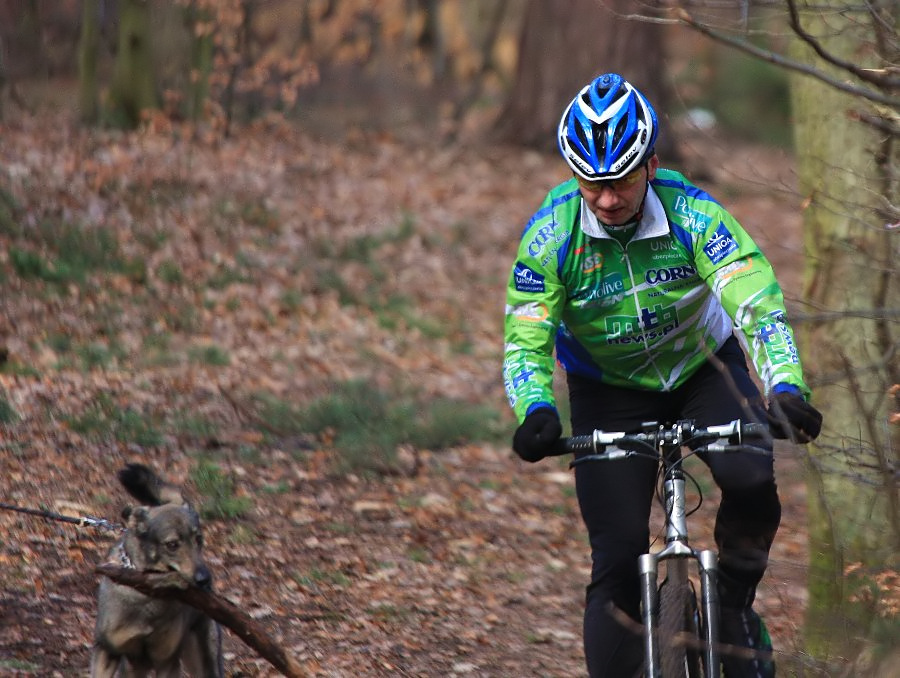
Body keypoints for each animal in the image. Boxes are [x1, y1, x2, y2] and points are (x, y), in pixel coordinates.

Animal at [91, 464, 225, 676]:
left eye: (199, 539)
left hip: (204, 658)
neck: (148, 595)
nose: (205, 580)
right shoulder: (107, 651)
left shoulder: (167, 661)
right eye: (172, 545)